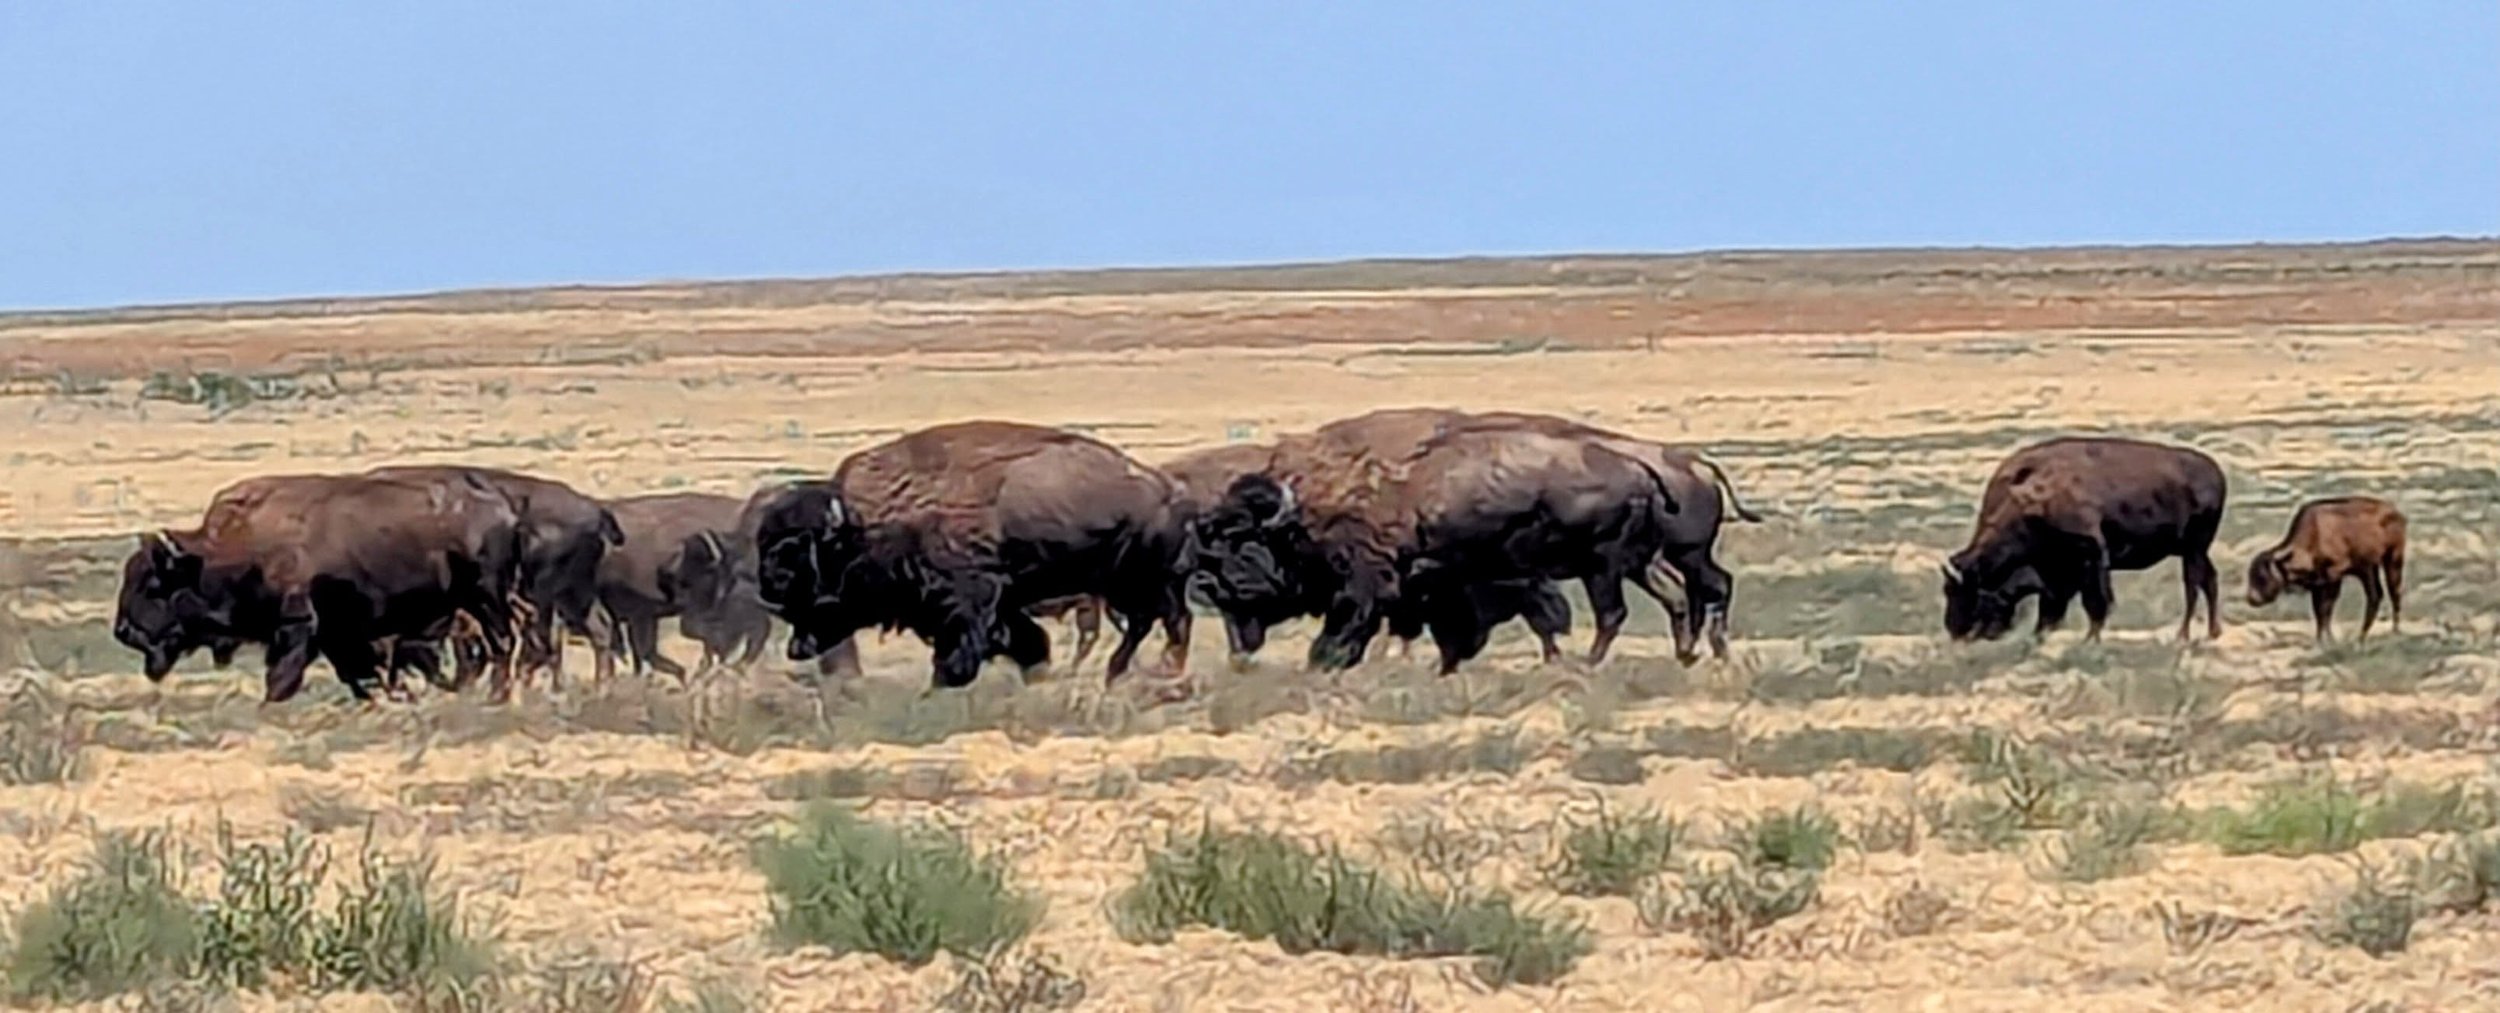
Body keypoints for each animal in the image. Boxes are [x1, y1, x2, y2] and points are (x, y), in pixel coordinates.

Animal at [755, 422, 1196, 689]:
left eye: (795, 555)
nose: (796, 648)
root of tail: (1164, 485)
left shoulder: (969, 604)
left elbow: (958, 658)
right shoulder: (1002, 608)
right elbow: (1030, 644)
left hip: (1130, 584)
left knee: (1159, 622)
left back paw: (1141, 672)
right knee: (1166, 620)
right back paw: (1128, 673)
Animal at [1942, 437, 2227, 643]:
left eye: (1966, 592)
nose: (1954, 630)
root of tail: (2215, 471)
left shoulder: (2090, 558)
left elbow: (2096, 604)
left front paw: (2090, 640)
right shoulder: (2057, 577)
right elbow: (2051, 612)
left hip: (2193, 549)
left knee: (2192, 586)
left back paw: (2184, 635)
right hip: (2193, 550)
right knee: (2209, 580)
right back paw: (2213, 632)